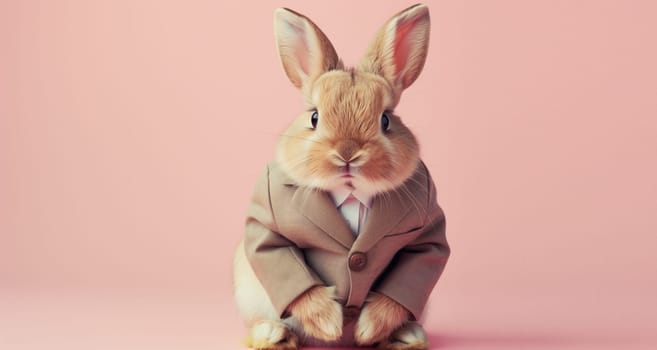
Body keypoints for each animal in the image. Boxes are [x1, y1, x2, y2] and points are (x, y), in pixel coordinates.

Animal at [233, 3, 448, 350]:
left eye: (385, 120)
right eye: (314, 117)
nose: (347, 153)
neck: (348, 191)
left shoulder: (427, 233)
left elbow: (411, 273)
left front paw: (368, 329)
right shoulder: (268, 226)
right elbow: (284, 265)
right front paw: (328, 323)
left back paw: (407, 336)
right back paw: (273, 334)